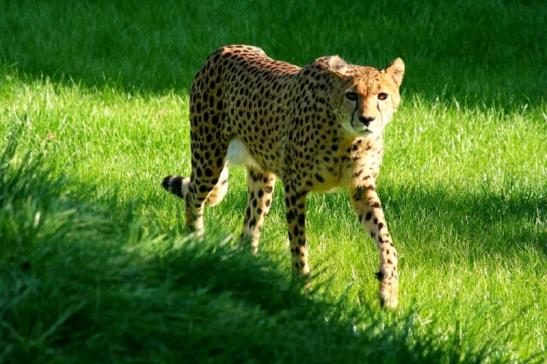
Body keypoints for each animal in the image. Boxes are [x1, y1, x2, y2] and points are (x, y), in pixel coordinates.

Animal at [161, 44, 404, 308]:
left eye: (382, 96)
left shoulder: (361, 188)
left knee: (250, 227)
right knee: (194, 198)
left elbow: (385, 238)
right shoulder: (295, 188)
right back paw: (195, 242)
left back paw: (249, 269)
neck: (348, 139)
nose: (367, 119)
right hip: (208, 160)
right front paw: (302, 287)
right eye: (352, 95)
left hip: (262, 180)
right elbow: (298, 243)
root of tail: (224, 49)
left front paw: (389, 288)